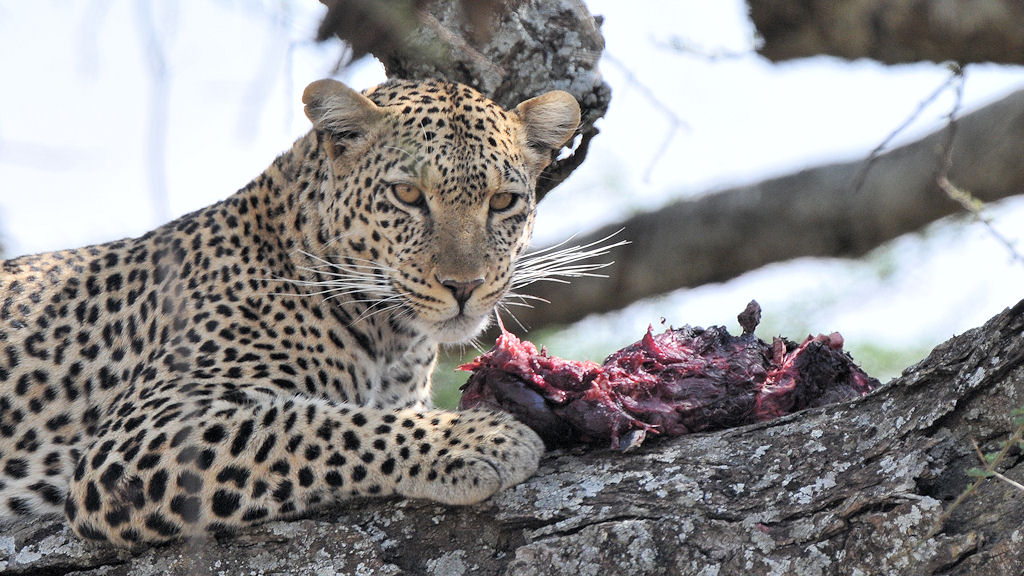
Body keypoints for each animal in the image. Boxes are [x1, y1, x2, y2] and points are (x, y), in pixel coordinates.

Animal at [0, 77, 581, 546]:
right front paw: (477, 439)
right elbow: (317, 425)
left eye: (503, 202)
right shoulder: (141, 437)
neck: (393, 339)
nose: (465, 286)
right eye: (408, 194)